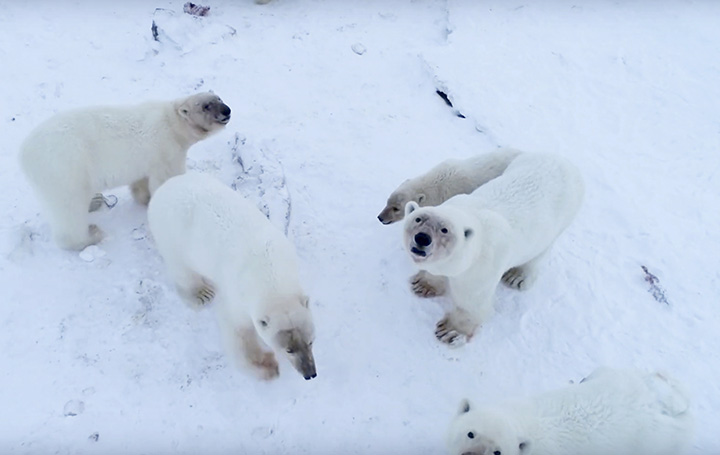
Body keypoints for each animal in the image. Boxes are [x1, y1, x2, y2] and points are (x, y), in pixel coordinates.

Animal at [18, 91, 231, 251]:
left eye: (219, 98)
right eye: (206, 106)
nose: (226, 110)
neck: (172, 123)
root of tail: (24, 154)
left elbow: (142, 181)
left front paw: (144, 197)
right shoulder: (166, 150)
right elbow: (166, 180)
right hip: (65, 168)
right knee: (69, 209)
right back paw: (90, 234)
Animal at [146, 172, 316, 382]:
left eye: (310, 341)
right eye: (289, 349)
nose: (310, 373)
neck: (270, 273)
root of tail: (163, 188)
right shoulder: (238, 296)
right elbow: (237, 331)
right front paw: (267, 367)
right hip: (172, 236)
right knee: (182, 268)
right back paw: (202, 293)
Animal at [402, 153, 584, 346]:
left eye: (444, 230)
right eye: (418, 219)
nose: (422, 238)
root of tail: (565, 161)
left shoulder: (481, 269)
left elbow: (472, 302)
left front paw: (451, 331)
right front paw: (422, 285)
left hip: (562, 218)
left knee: (539, 252)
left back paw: (517, 277)